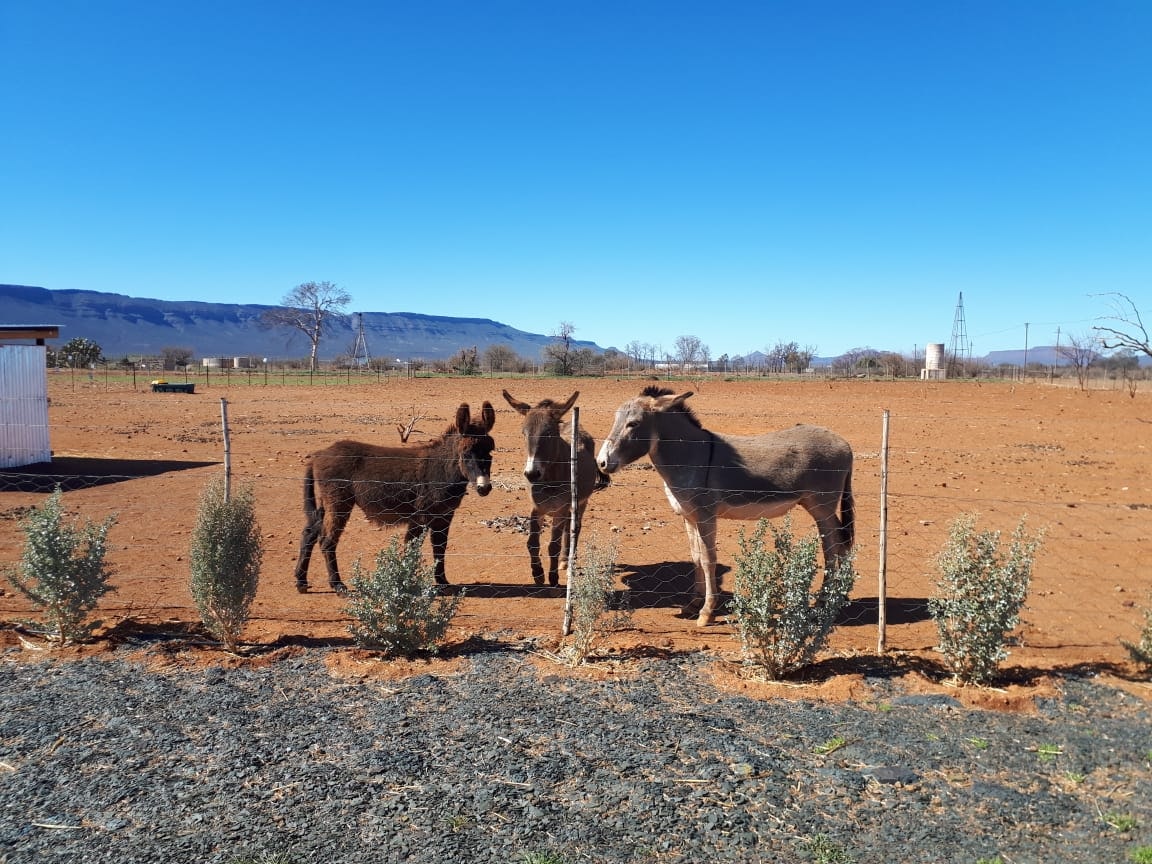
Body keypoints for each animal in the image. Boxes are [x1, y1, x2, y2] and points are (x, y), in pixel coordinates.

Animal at [294, 401, 496, 594]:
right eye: (466, 454)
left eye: (490, 453)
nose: (484, 488)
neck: (442, 469)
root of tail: (319, 454)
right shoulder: (421, 516)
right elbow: (411, 548)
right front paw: (408, 582)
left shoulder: (444, 516)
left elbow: (439, 548)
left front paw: (442, 583)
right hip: (339, 503)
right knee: (327, 540)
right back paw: (337, 585)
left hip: (325, 502)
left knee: (309, 533)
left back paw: (301, 581)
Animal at [502, 390, 610, 586]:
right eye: (524, 433)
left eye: (550, 434)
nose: (531, 474)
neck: (549, 480)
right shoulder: (537, 509)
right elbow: (532, 542)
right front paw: (537, 573)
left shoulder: (560, 510)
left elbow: (554, 545)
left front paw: (552, 578)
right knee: (568, 528)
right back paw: (564, 561)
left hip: (580, 503)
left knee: (575, 527)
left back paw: (568, 560)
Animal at [596, 387, 854, 626]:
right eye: (615, 420)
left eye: (633, 423)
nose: (601, 463)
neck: (693, 457)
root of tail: (844, 443)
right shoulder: (689, 517)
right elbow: (696, 558)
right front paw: (694, 603)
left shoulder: (706, 517)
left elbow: (708, 560)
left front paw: (707, 612)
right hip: (820, 508)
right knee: (840, 542)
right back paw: (836, 597)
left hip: (822, 507)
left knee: (831, 548)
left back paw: (823, 602)